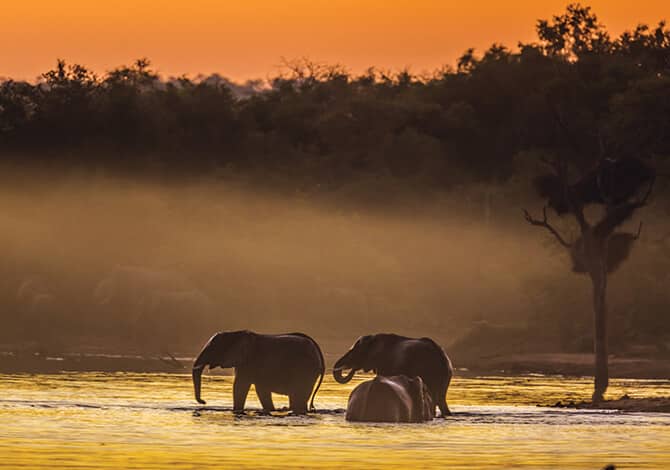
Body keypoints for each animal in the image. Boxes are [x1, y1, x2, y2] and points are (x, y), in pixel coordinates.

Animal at [193, 330, 326, 414]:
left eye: (212, 349)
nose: (203, 402)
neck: (235, 333)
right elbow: (261, 390)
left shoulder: (248, 362)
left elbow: (240, 387)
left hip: (305, 369)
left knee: (298, 396)